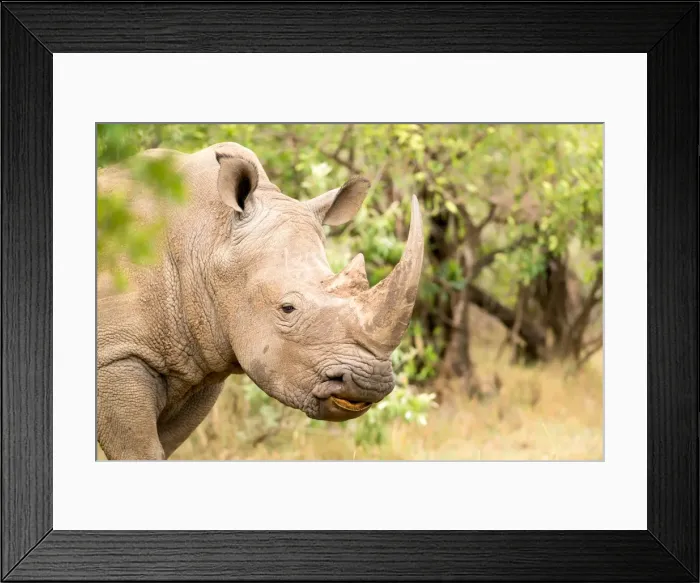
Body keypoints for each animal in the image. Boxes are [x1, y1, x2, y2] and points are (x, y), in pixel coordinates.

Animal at [97, 142, 423, 460]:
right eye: (287, 308)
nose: (369, 383)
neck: (209, 236)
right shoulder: (117, 355)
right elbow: (139, 450)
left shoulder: (198, 364)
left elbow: (164, 445)